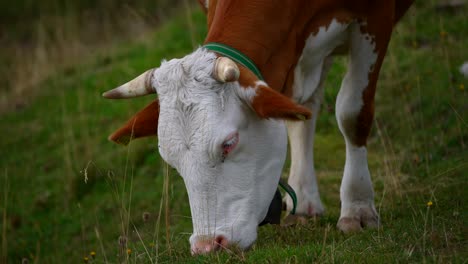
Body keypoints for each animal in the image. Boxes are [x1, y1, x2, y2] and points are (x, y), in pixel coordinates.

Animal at [103, 0, 414, 256]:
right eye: (171, 159)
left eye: (228, 144)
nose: (207, 246)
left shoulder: (375, 18)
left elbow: (352, 113)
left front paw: (358, 207)